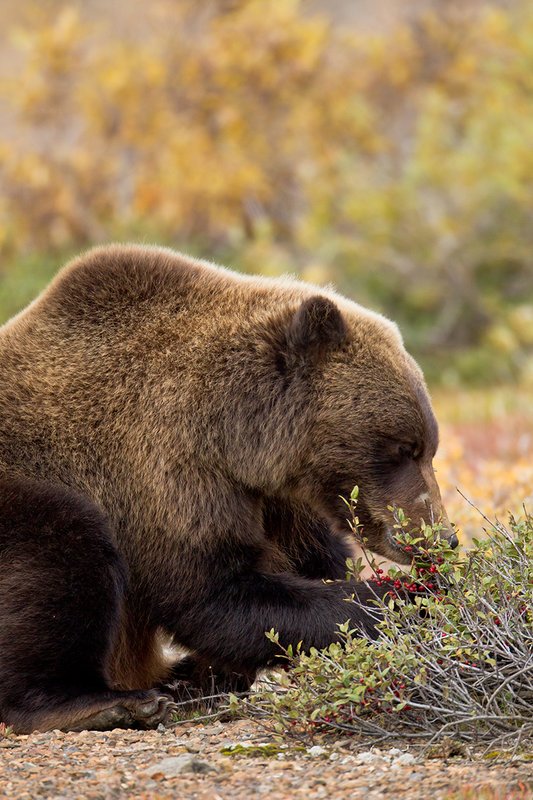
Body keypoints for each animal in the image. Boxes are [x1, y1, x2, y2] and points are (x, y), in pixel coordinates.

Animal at [0, 244, 456, 733]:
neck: (238, 439)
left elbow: (308, 563)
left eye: (428, 447)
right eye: (403, 447)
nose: (443, 537)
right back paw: (107, 703)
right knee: (63, 549)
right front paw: (412, 597)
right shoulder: (164, 466)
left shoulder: (278, 498)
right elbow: (214, 594)